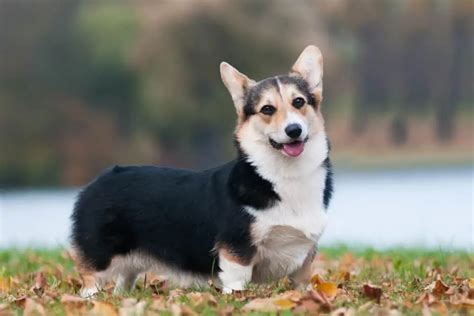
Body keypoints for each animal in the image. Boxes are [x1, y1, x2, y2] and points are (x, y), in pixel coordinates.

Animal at [71, 45, 334, 296]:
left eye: (299, 102)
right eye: (267, 109)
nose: (294, 130)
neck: (285, 176)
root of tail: (97, 181)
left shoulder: (304, 260)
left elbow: (301, 287)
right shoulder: (236, 251)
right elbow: (237, 284)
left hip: (129, 266)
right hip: (99, 259)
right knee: (90, 284)